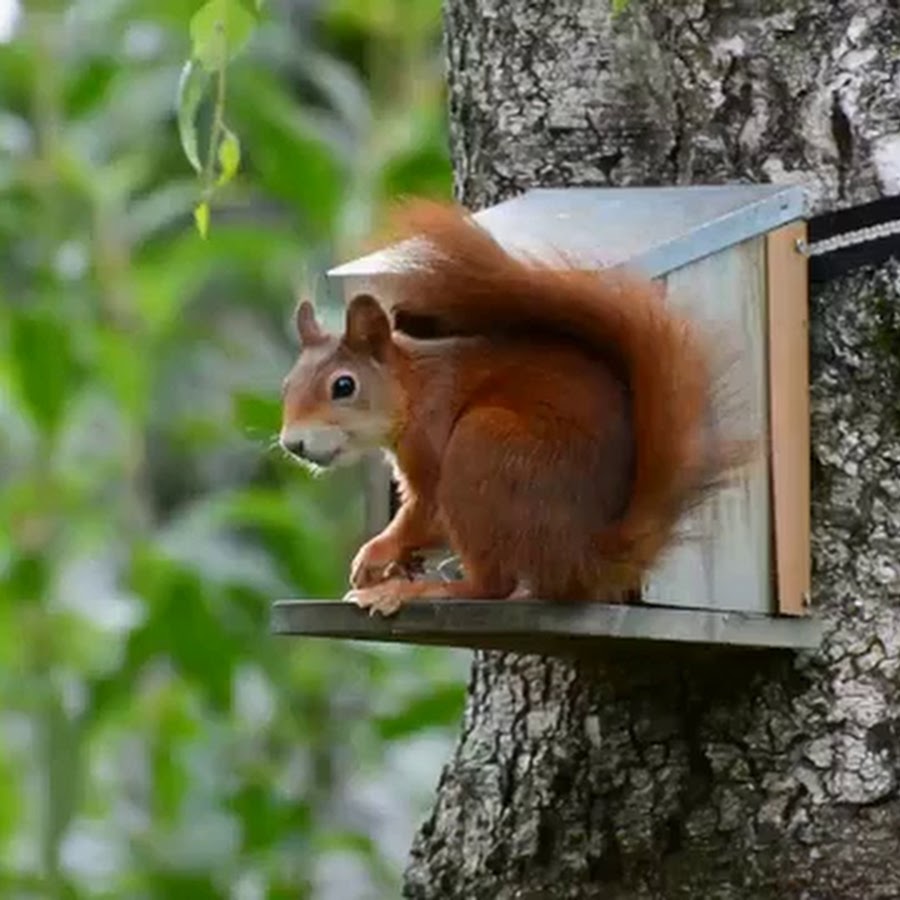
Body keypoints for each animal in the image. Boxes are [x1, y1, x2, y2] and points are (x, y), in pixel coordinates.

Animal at [278, 200, 748, 616]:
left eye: (343, 386)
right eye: (287, 386)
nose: (291, 444)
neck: (413, 387)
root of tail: (586, 557)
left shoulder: (431, 439)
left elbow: (424, 512)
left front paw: (375, 554)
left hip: (481, 449)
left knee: (491, 586)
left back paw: (422, 591)